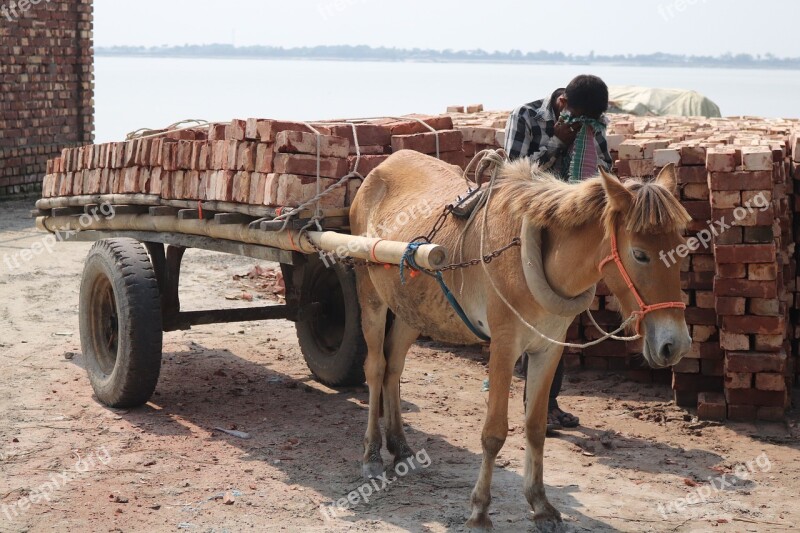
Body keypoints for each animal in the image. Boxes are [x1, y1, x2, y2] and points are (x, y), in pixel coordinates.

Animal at [350, 150, 692, 528]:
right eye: (640, 254)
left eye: (682, 249)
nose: (675, 345)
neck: (531, 255)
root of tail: (382, 167)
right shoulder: (503, 346)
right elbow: (494, 433)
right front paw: (479, 511)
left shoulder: (548, 348)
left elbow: (535, 427)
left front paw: (540, 504)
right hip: (370, 294)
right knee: (375, 368)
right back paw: (370, 455)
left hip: (412, 309)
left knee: (394, 367)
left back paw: (400, 447)